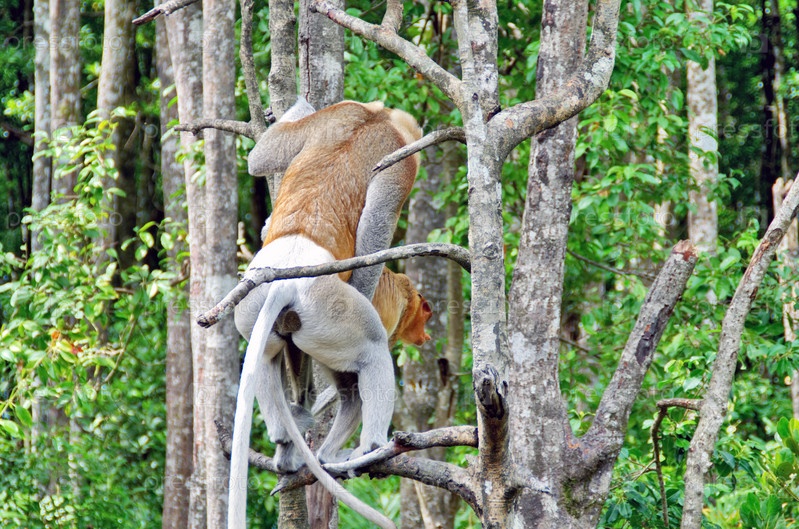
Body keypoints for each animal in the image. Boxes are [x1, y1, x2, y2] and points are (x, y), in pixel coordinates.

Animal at [228, 98, 422, 529]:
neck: (374, 117)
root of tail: (285, 279)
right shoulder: (399, 163)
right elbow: (376, 226)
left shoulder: (338, 112)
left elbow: (261, 156)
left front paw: (294, 108)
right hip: (329, 308)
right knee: (373, 351)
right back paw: (368, 449)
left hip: (252, 308)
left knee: (265, 358)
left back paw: (289, 441)